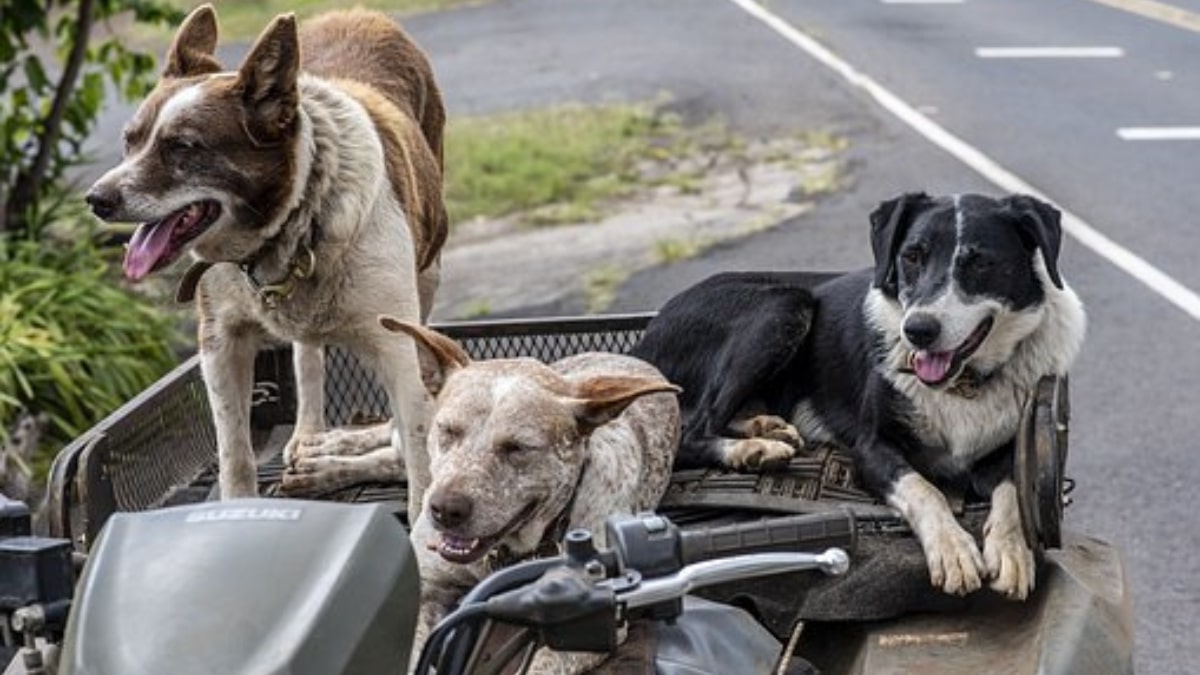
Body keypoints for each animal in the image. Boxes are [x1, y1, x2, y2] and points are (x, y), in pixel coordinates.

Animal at [84, 5, 448, 514]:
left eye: (183, 147)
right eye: (130, 141)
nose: (96, 200)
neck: (290, 224)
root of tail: (360, 13)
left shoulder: (398, 347)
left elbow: (419, 462)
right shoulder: (220, 342)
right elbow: (235, 453)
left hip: (429, 271)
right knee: (307, 353)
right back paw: (312, 438)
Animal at [638, 192, 1089, 595]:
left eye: (980, 262)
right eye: (911, 256)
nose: (917, 331)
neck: (963, 383)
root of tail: (646, 338)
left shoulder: (1010, 449)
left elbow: (1013, 490)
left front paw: (1012, 551)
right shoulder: (871, 449)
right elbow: (924, 489)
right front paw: (954, 551)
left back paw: (765, 428)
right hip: (784, 305)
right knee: (690, 431)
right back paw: (753, 450)